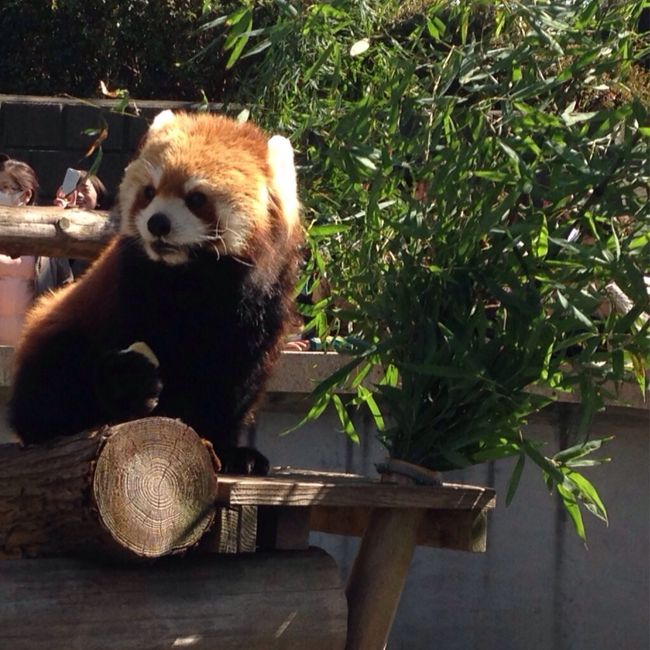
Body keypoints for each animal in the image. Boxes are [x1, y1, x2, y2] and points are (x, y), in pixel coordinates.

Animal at [8, 111, 302, 474]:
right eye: (148, 192)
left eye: (196, 198)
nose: (157, 224)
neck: (194, 278)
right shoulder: (131, 286)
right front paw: (130, 382)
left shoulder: (261, 306)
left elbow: (232, 385)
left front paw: (232, 451)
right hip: (58, 330)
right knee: (50, 383)